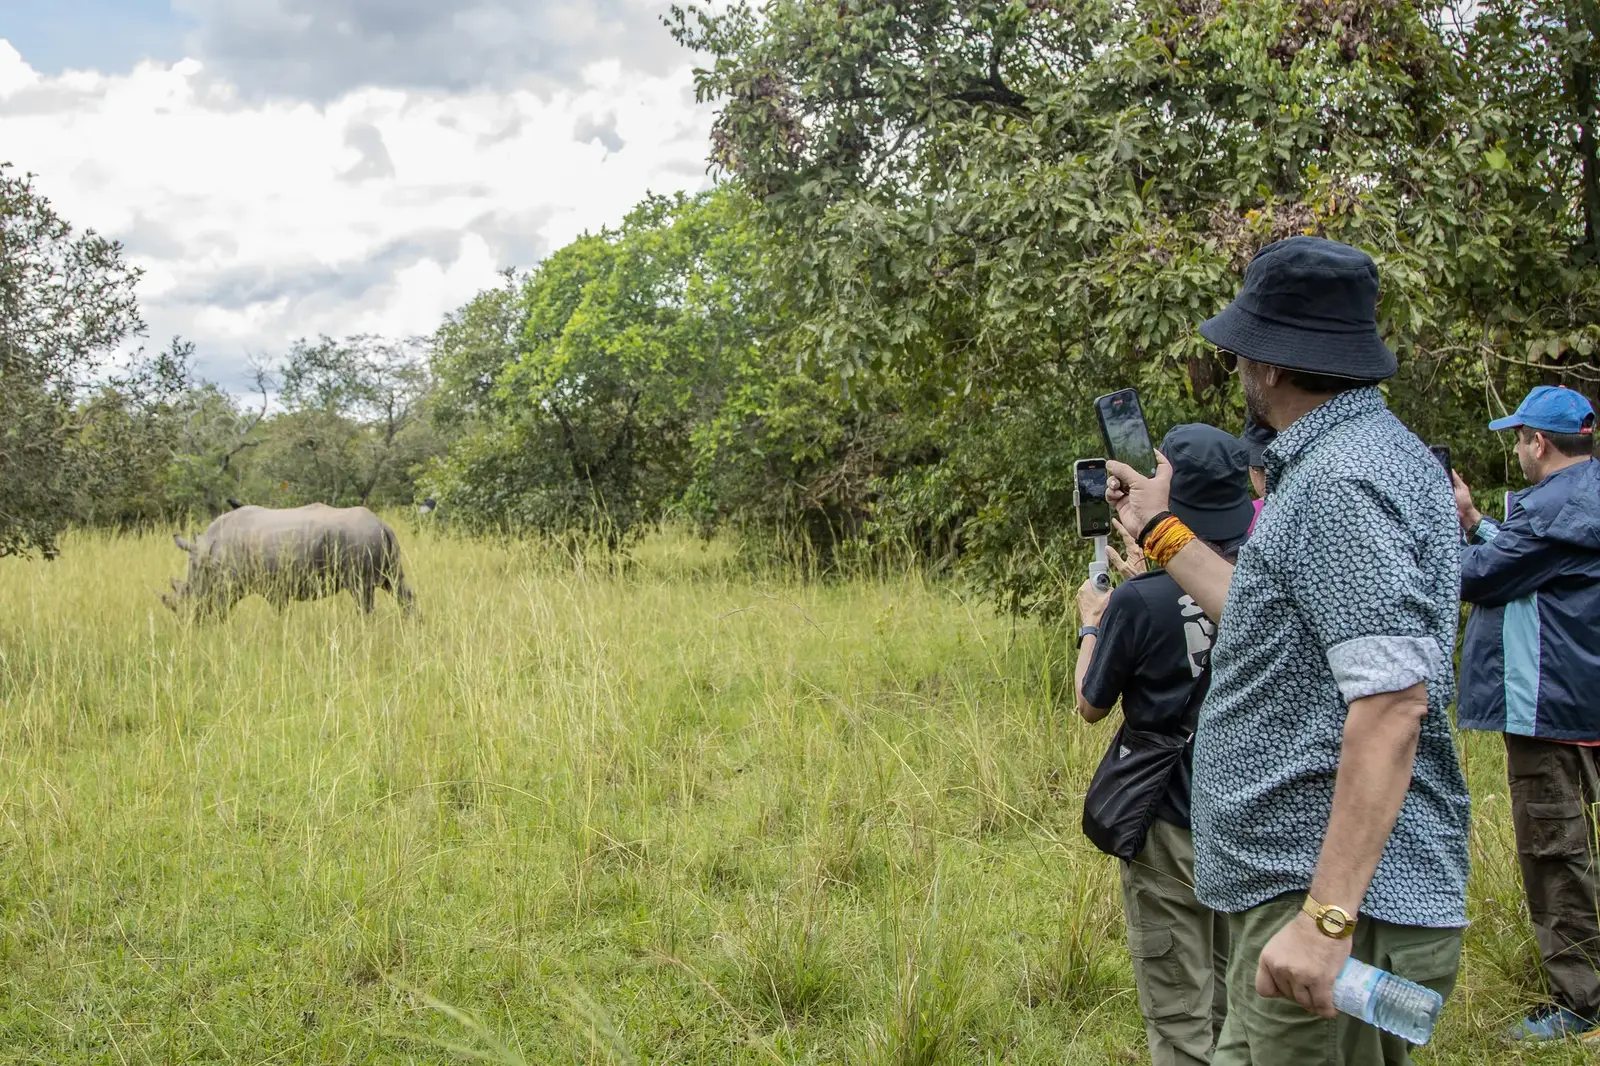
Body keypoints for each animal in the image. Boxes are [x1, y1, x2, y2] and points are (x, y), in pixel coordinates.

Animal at [162, 503, 415, 619]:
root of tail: (382, 524)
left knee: (363, 596)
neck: (210, 555)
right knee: (397, 586)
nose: (192, 623)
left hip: (359, 541)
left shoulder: (260, 586)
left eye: (190, 594)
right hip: (380, 546)